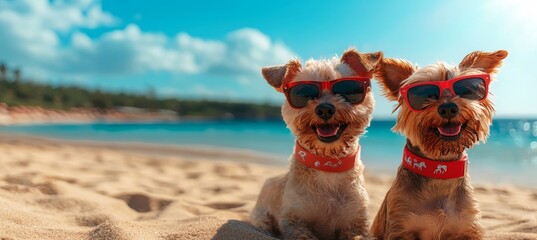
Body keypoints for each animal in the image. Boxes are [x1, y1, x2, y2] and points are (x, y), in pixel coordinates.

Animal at [249, 47, 384, 239]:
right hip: (261, 214)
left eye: (348, 90)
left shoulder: (357, 222)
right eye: (302, 93)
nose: (325, 108)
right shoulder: (293, 220)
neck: (327, 164)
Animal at [370, 49, 508, 239]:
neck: (439, 171)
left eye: (467, 89)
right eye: (425, 94)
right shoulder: (401, 225)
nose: (448, 108)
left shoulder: (467, 227)